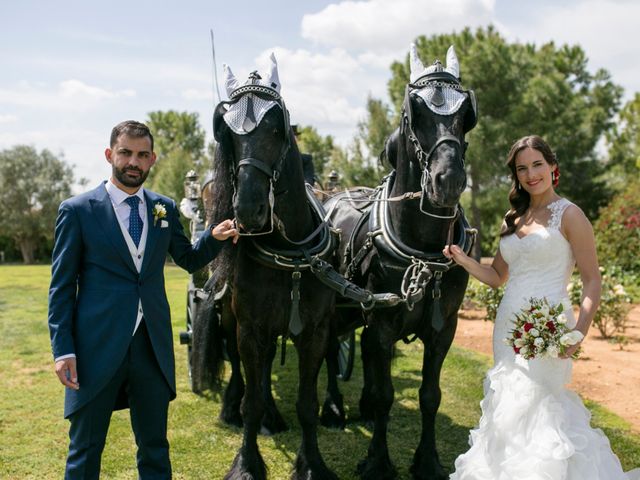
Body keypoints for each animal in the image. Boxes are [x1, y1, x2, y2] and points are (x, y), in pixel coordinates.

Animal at [199, 57, 340, 480]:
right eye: (227, 134)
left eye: (277, 128)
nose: (247, 210)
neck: (288, 253)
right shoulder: (249, 328)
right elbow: (251, 401)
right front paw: (246, 464)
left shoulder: (315, 331)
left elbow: (307, 404)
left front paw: (311, 463)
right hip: (232, 320)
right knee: (242, 371)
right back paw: (236, 407)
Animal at [322, 43, 478, 478]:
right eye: (415, 112)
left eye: (467, 115)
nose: (448, 180)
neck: (421, 248)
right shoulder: (382, 323)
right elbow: (387, 394)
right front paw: (377, 459)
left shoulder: (444, 328)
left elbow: (429, 394)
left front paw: (427, 460)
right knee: (329, 349)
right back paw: (333, 408)